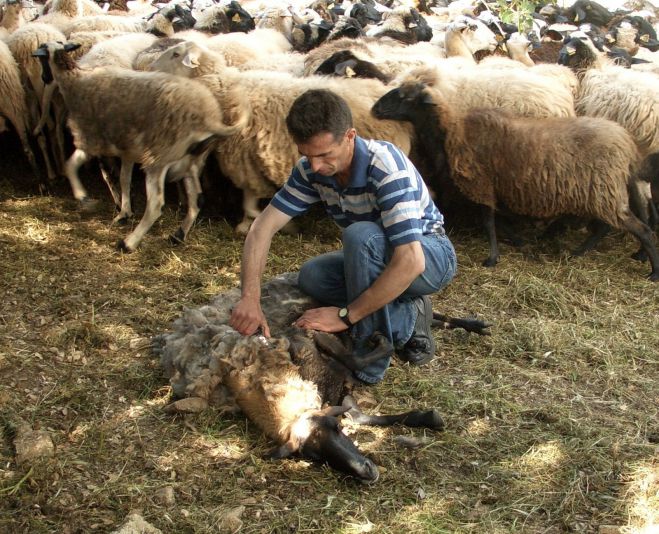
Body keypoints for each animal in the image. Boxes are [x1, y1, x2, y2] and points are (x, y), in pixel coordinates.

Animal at [153, 274, 490, 480]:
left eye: (336, 430)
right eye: (315, 457)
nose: (367, 472)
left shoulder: (315, 336)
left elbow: (356, 358)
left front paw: (381, 344)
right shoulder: (342, 396)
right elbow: (362, 416)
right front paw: (426, 417)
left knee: (420, 310)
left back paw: (465, 324)